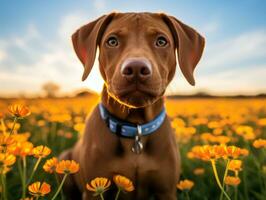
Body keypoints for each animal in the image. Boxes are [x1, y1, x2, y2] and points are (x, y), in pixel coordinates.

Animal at [60, 11, 205, 199]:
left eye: (161, 41)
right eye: (112, 41)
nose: (136, 68)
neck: (136, 128)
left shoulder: (166, 191)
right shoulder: (93, 190)